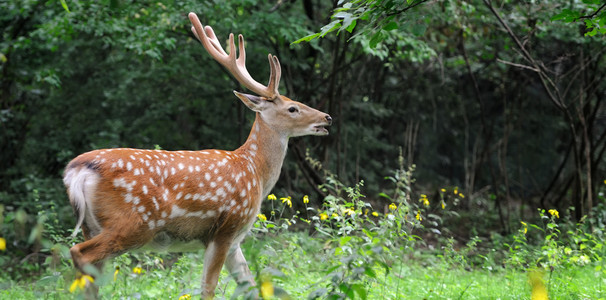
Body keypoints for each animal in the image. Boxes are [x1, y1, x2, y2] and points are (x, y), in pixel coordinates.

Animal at [63, 11, 332, 298]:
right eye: (292, 108)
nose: (326, 117)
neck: (254, 170)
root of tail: (77, 170)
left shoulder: (236, 241)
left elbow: (251, 285)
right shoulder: (224, 228)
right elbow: (208, 287)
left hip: (92, 225)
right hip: (133, 222)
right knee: (80, 254)